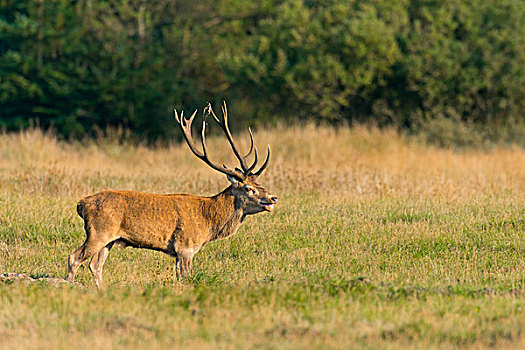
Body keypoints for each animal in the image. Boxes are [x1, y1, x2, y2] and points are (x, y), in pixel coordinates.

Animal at [67, 102, 276, 290]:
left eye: (259, 184)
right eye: (249, 188)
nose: (273, 198)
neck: (209, 221)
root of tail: (81, 204)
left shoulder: (177, 252)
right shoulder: (186, 246)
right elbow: (186, 278)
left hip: (109, 239)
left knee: (95, 265)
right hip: (98, 232)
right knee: (74, 258)